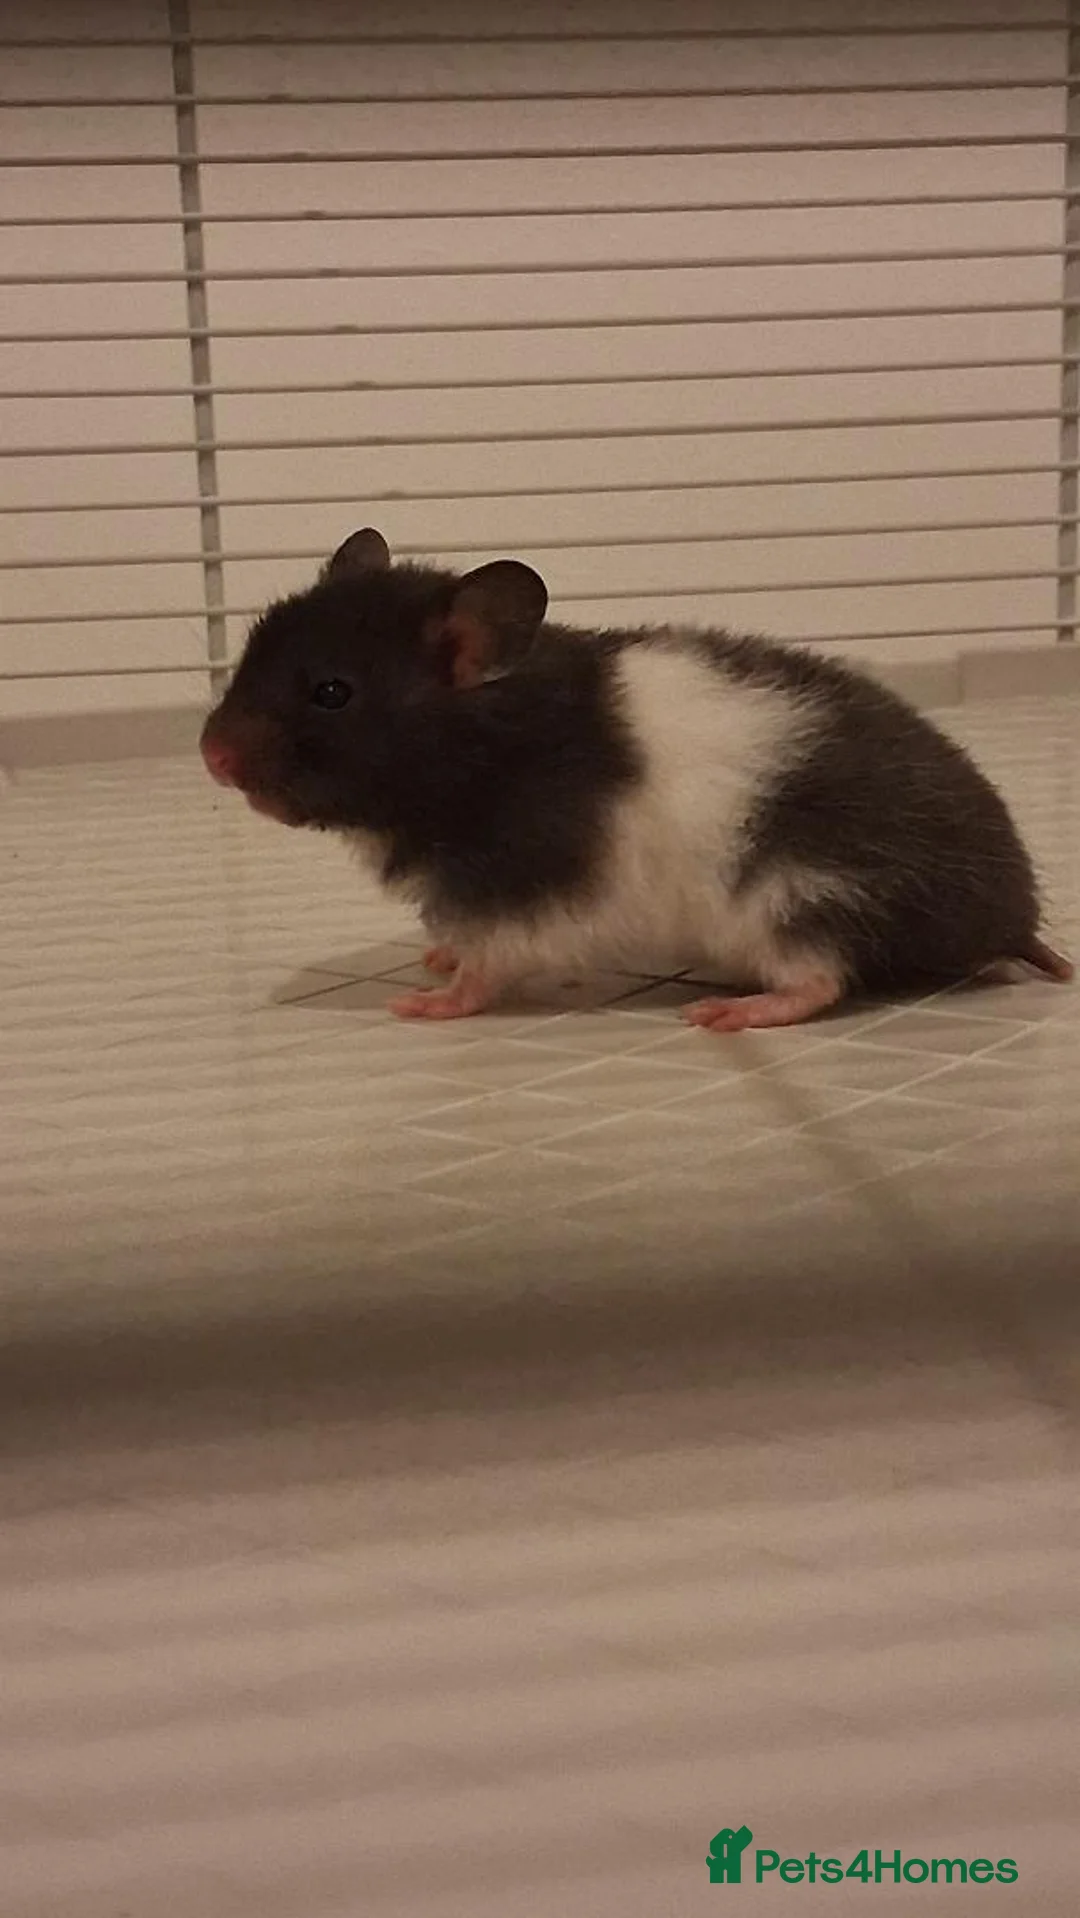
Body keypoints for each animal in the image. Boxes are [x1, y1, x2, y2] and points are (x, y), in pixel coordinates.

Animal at [200, 525, 1072, 1031]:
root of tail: (1013, 918)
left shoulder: (526, 889)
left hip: (798, 897)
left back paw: (726, 1013)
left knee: (819, 981)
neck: (482, 749)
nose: (210, 757)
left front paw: (422, 1001)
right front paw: (433, 960)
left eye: (331, 692)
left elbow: (488, 964)